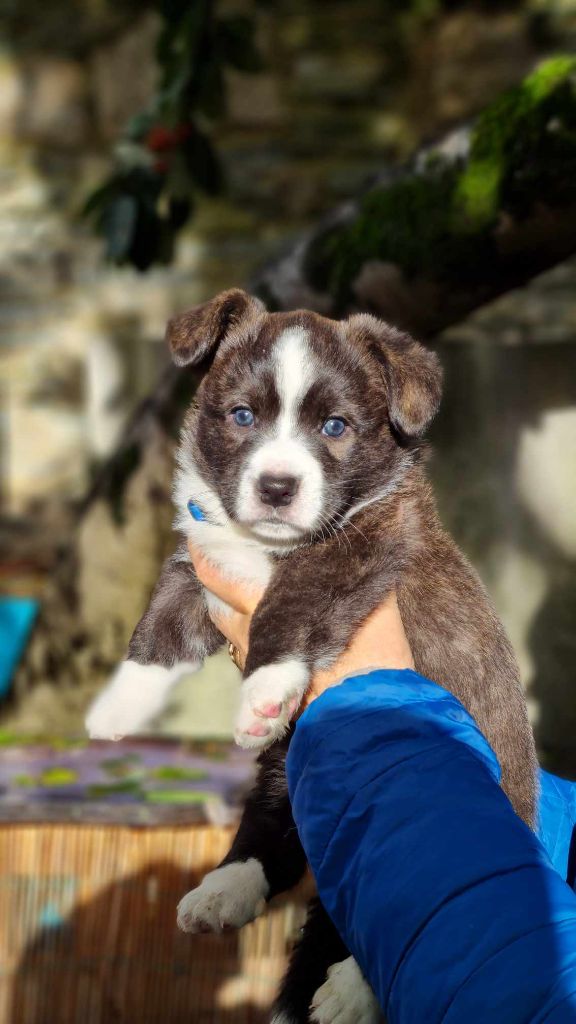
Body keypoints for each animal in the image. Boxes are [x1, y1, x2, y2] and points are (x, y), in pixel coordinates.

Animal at [86, 288, 538, 1024]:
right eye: (242, 416)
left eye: (334, 426)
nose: (276, 486)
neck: (265, 546)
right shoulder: (203, 561)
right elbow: (160, 619)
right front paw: (118, 704)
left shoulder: (356, 549)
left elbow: (290, 602)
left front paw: (263, 690)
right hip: (287, 771)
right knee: (275, 831)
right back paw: (221, 891)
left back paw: (350, 990)